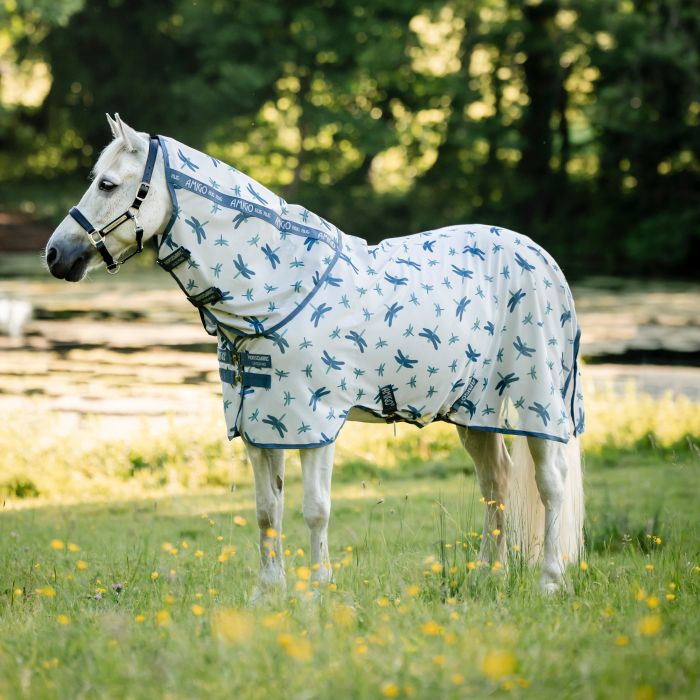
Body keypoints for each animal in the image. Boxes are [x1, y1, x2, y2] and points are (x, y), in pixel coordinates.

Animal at [46, 114, 584, 597]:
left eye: (109, 184)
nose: (55, 255)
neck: (277, 290)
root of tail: (541, 258)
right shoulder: (260, 424)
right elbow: (267, 510)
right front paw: (268, 592)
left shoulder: (315, 420)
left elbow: (315, 508)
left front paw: (319, 589)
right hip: (475, 411)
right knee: (496, 483)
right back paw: (487, 576)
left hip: (537, 403)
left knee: (551, 484)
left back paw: (550, 582)